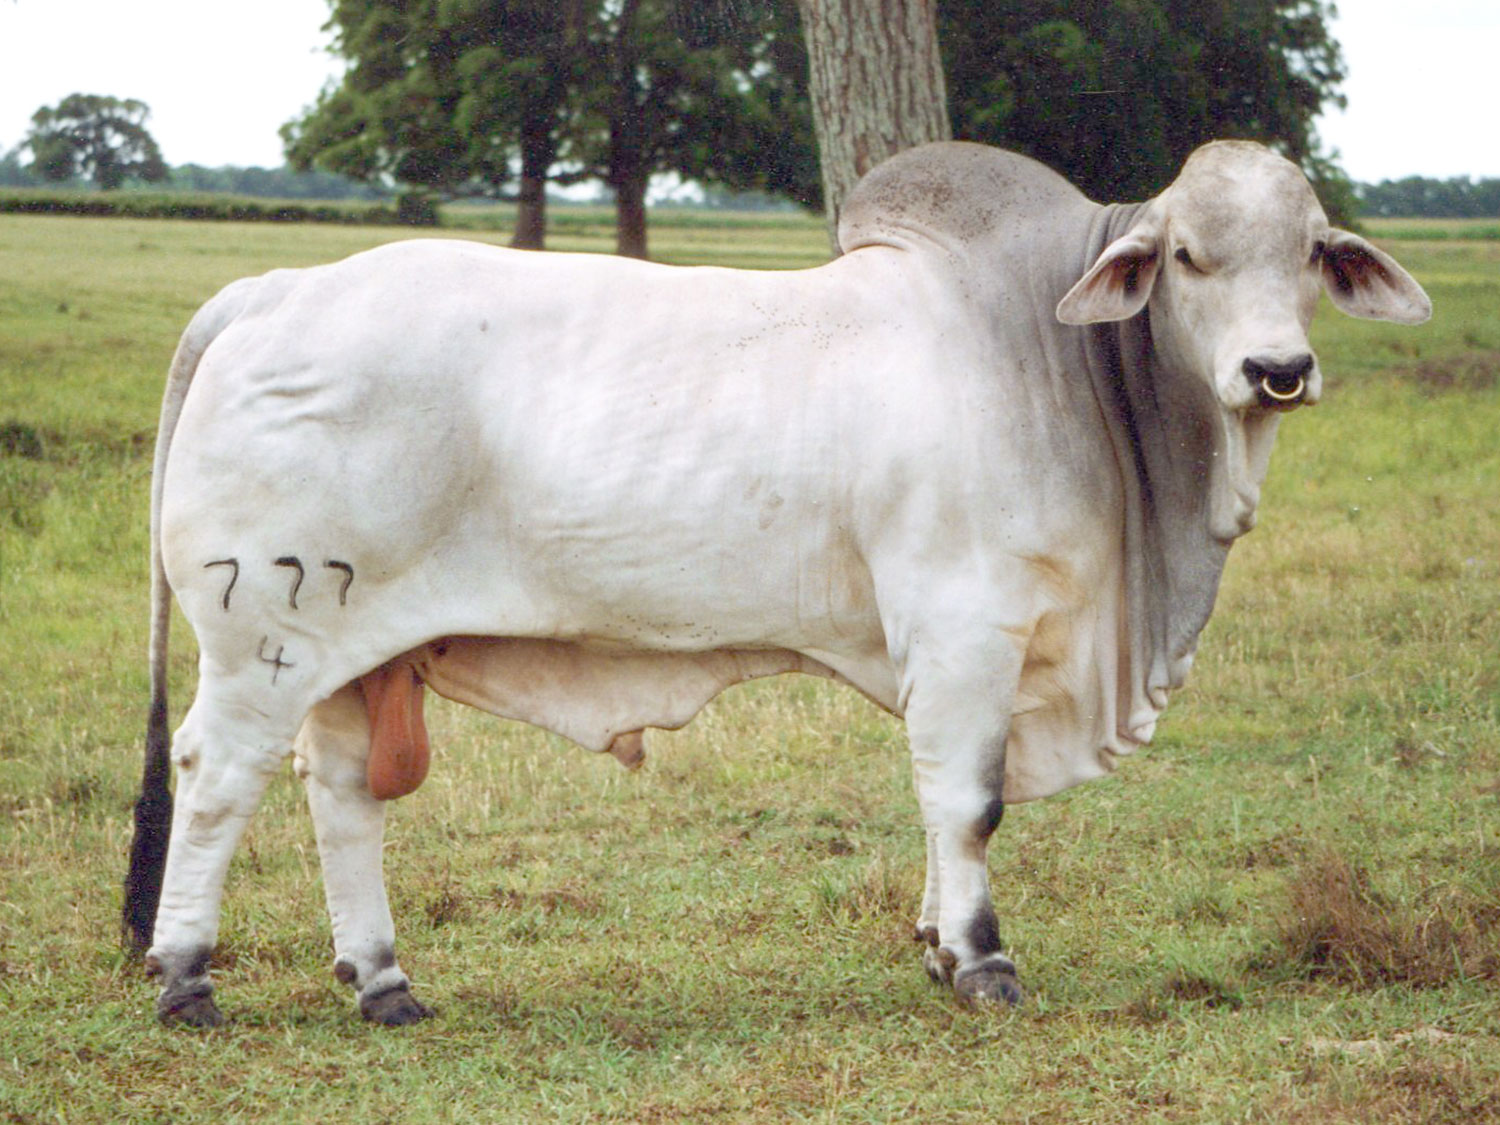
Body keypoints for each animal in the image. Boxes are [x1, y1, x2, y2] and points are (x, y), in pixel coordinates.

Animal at [124, 140, 1430, 1027]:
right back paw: (186, 978)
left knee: (343, 795)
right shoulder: (965, 624)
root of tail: (272, 289)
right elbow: (970, 799)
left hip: (355, 647)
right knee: (217, 779)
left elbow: (939, 797)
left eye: (1312, 256)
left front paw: (936, 944)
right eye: (1190, 258)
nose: (1277, 370)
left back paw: (384, 981)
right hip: (264, 635)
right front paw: (984, 961)